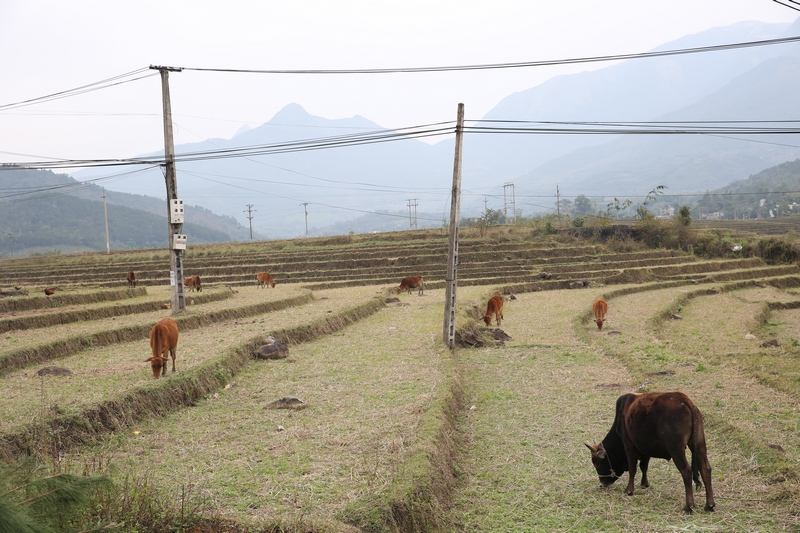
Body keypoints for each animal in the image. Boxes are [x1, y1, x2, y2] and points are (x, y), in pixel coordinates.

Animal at [584, 392, 716, 512]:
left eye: (597, 464)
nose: (602, 484)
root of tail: (684, 400)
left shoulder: (629, 446)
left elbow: (632, 469)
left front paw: (629, 490)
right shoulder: (645, 449)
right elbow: (644, 467)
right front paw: (644, 484)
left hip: (676, 449)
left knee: (687, 472)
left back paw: (688, 506)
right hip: (699, 444)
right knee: (706, 470)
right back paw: (709, 505)